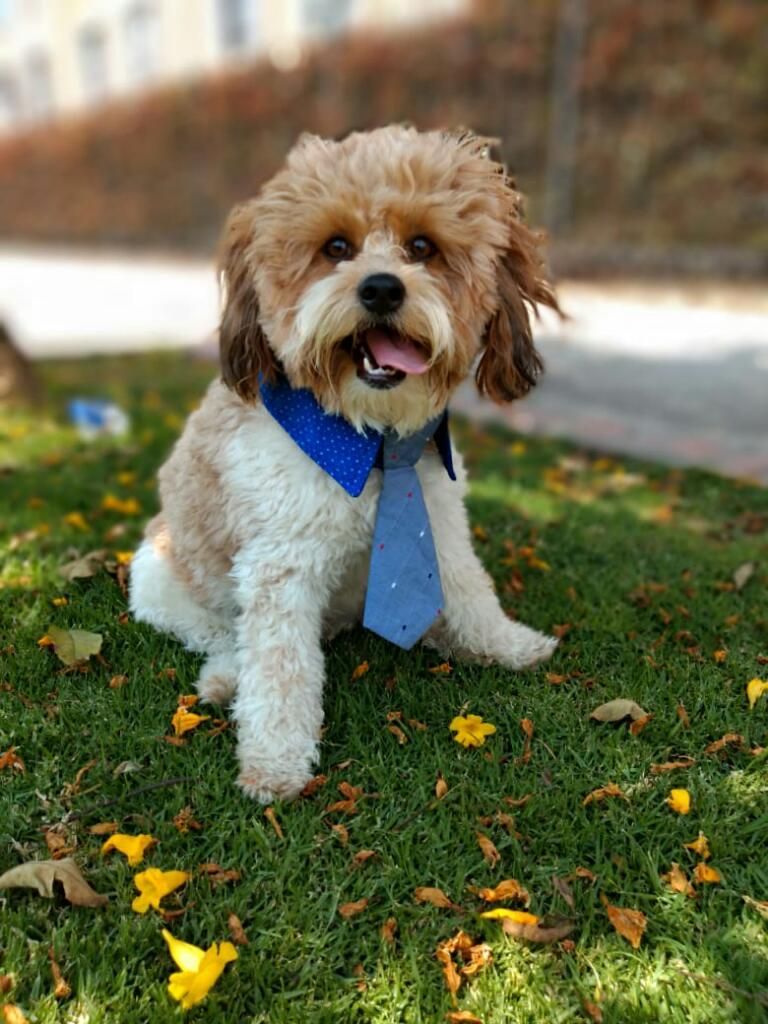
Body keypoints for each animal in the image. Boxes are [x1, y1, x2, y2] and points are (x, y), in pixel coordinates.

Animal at [129, 125, 561, 798]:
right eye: (336, 247)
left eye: (422, 246)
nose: (381, 287)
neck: (373, 440)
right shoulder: (279, 565)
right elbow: (279, 670)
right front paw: (277, 763)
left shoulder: (439, 521)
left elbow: (470, 590)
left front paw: (505, 644)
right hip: (159, 578)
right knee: (227, 638)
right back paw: (226, 675)